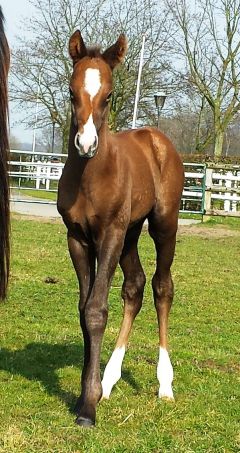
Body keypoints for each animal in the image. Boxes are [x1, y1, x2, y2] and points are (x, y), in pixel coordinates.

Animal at [57, 30, 184, 426]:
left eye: (109, 96)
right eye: (71, 91)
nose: (86, 144)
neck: (90, 177)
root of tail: (157, 139)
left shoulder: (109, 234)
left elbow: (97, 310)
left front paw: (87, 407)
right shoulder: (78, 239)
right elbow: (84, 310)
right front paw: (90, 391)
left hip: (162, 224)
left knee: (161, 287)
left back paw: (165, 384)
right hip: (130, 232)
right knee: (135, 287)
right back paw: (110, 380)